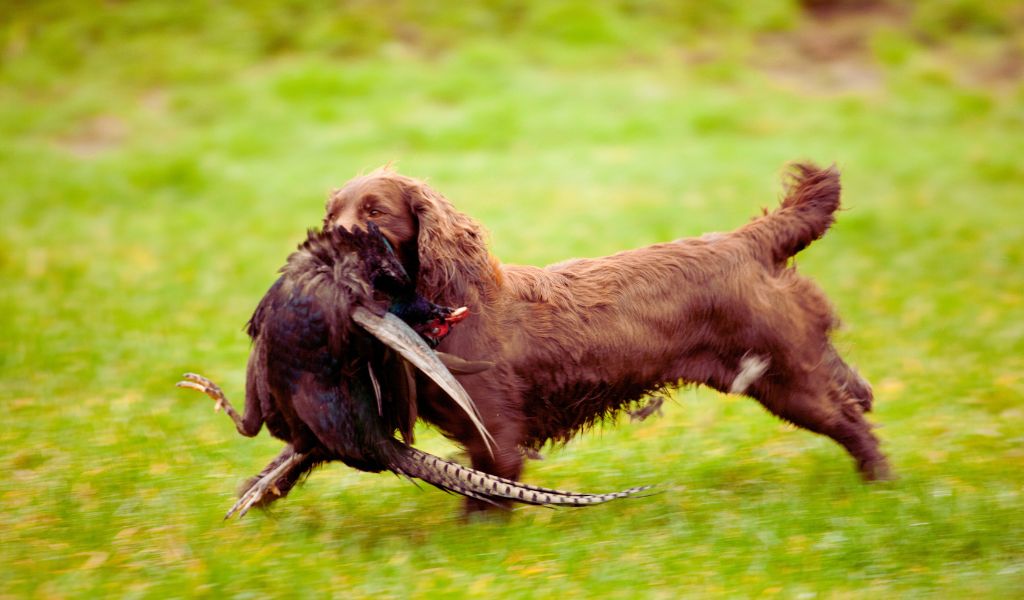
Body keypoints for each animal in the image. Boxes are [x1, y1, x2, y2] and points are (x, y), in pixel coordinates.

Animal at [325, 163, 888, 509]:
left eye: (375, 211)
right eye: (333, 214)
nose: (330, 240)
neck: (454, 304)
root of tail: (748, 240)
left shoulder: (498, 437)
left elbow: (487, 498)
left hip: (786, 378)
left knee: (851, 422)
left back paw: (881, 489)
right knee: (854, 391)